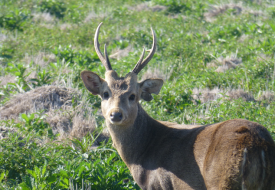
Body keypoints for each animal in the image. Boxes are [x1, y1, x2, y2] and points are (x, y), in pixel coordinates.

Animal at [81, 22, 275, 190]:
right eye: (105, 93)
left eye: (133, 96)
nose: (116, 114)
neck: (140, 154)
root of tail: (258, 146)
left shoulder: (159, 185)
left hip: (223, 180)